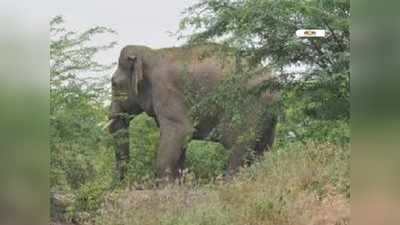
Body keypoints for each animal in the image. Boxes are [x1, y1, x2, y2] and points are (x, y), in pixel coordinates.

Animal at [108, 44, 278, 181]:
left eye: (113, 83)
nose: (122, 181)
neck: (150, 53)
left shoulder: (167, 92)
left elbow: (180, 130)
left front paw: (166, 186)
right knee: (261, 150)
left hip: (248, 107)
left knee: (239, 147)